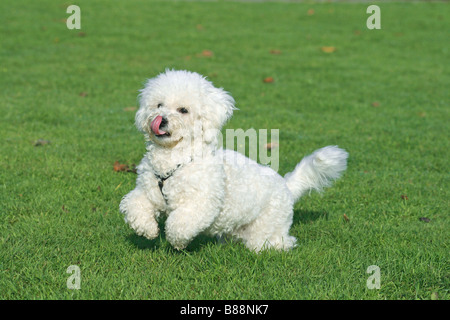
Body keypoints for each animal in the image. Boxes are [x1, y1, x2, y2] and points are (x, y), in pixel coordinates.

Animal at [119, 70, 348, 252]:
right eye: (159, 105)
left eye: (183, 110)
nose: (161, 120)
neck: (174, 161)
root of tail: (287, 186)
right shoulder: (147, 192)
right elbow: (134, 205)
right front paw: (148, 229)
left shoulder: (202, 202)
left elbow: (180, 223)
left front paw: (177, 241)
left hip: (267, 228)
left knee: (277, 242)